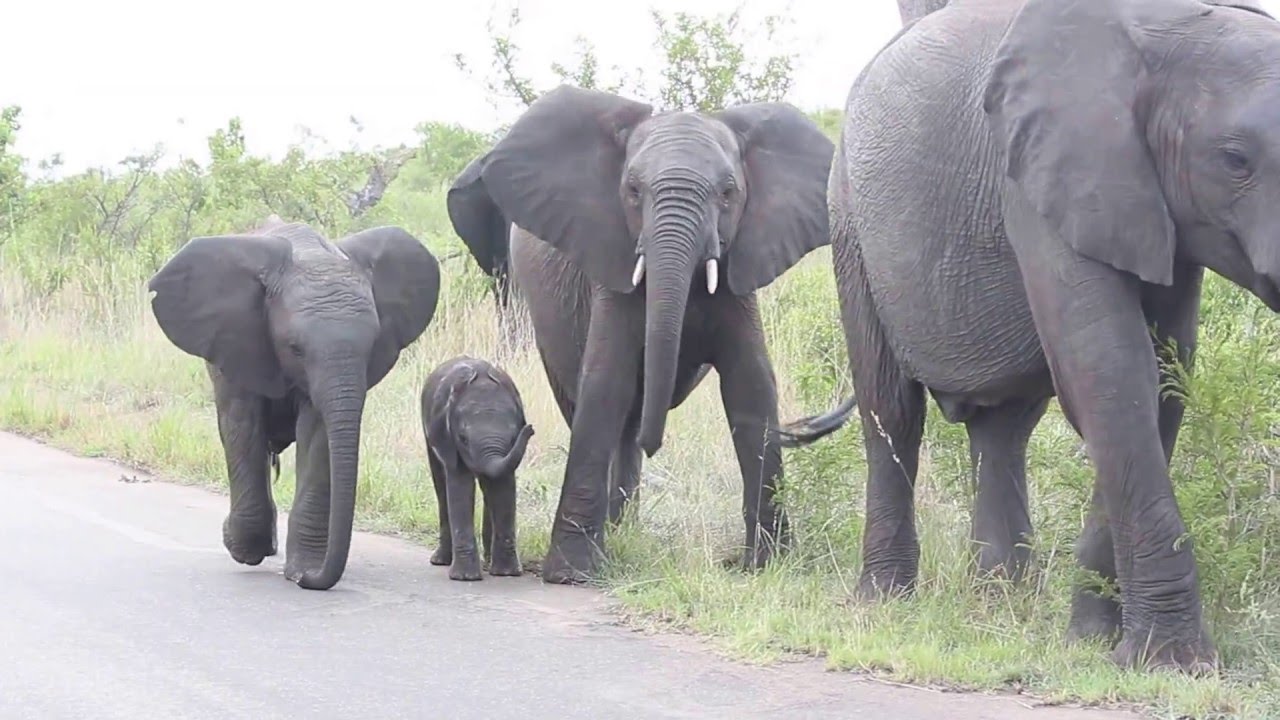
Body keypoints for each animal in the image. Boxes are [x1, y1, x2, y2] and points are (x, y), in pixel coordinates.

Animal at [147, 219, 441, 590]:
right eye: (295, 347)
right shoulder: (236, 340)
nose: (310, 580)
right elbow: (242, 424)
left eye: (373, 345)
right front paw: (243, 549)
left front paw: (302, 569)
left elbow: (317, 435)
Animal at [421, 355, 535, 580]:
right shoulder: (447, 437)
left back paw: (488, 562)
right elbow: (460, 486)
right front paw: (465, 578)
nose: (531, 429)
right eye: (463, 438)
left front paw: (507, 574)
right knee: (441, 485)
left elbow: (504, 487)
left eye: (513, 436)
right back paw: (441, 561)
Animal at [447, 85, 834, 584]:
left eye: (728, 193)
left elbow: (750, 386)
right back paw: (615, 529)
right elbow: (606, 381)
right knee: (591, 405)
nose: (658, 443)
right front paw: (571, 574)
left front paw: (766, 566)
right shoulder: (610, 268)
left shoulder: (740, 272)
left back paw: (622, 526)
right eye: (633, 190)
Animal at [777, 0, 1280, 672]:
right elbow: (1110, 370)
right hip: (850, 216)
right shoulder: (1045, 177)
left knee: (1003, 429)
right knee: (893, 411)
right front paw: (1170, 664)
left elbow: (1162, 378)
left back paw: (998, 604)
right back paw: (884, 602)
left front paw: (1090, 639)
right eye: (1235, 161)